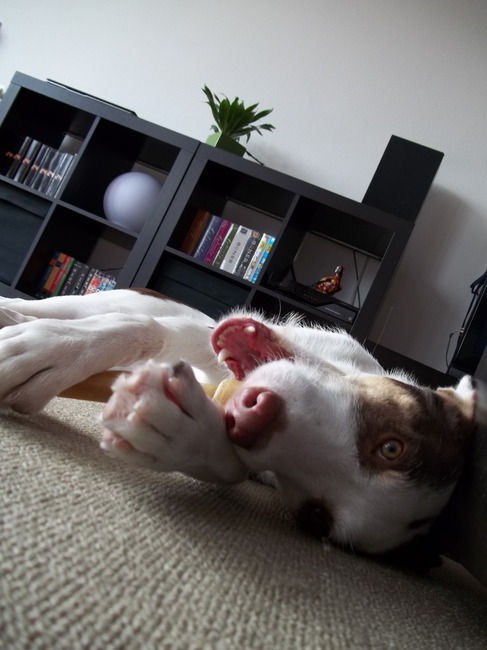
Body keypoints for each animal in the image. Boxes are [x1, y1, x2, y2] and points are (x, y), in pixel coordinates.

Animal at [0, 288, 478, 565]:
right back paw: (16, 314)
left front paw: (182, 435)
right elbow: (144, 330)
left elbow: (228, 464)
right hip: (100, 300)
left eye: (316, 517)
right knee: (56, 307)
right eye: (392, 447)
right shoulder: (191, 333)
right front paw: (56, 350)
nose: (255, 416)